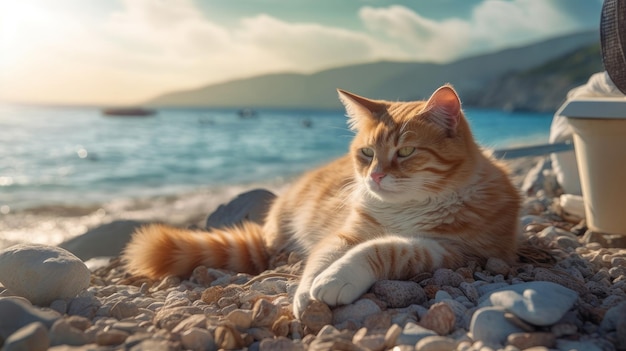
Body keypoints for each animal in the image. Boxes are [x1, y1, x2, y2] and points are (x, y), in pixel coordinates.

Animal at [120, 86, 516, 320]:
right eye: (367, 153)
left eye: (405, 152)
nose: (375, 176)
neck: (406, 208)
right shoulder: (345, 232)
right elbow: (322, 257)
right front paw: (309, 292)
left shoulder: (448, 250)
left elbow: (384, 249)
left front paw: (338, 278)